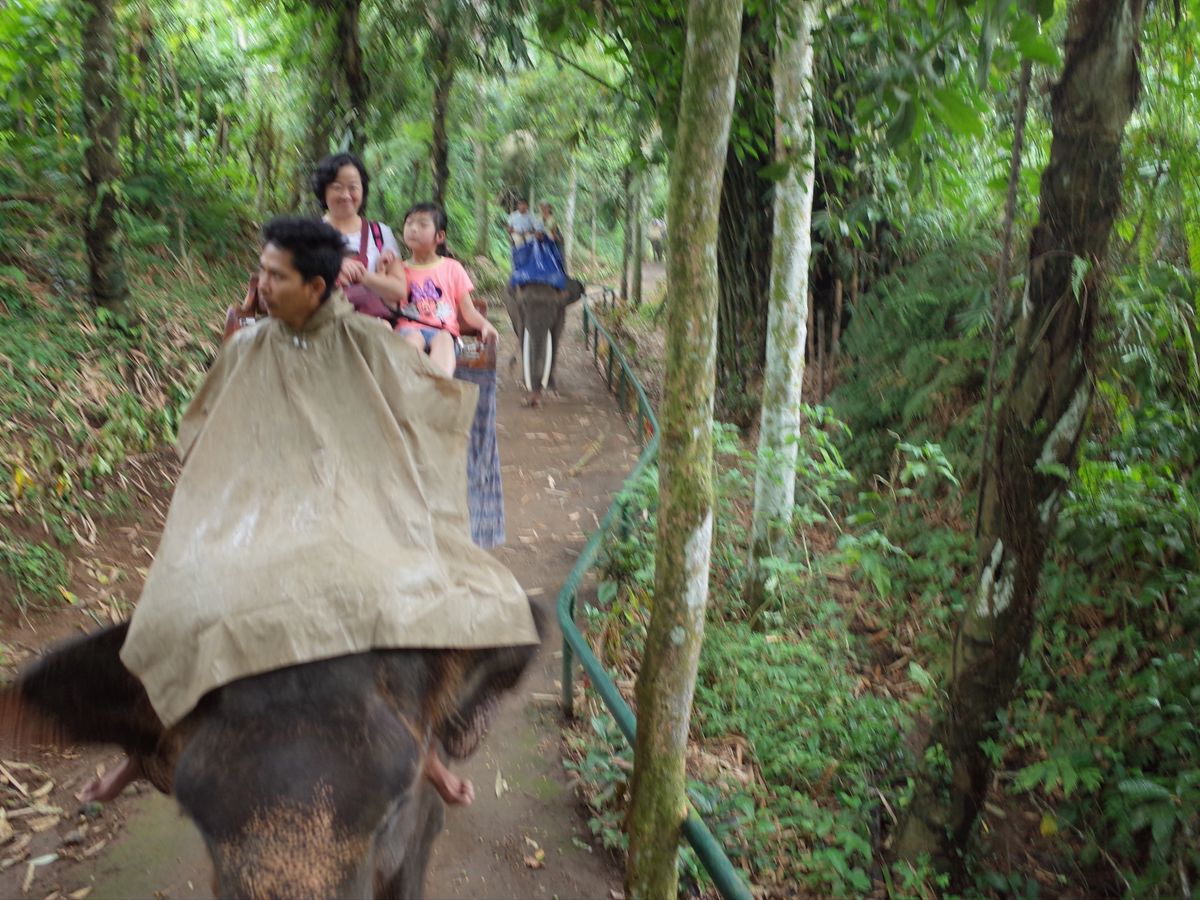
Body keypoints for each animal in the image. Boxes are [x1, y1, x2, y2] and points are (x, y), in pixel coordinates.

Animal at [504, 278, 584, 407]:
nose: (532, 401)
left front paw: (551, 389)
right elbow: (523, 339)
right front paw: (525, 385)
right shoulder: (519, 313)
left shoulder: (560, 311)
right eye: (524, 302)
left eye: (554, 304)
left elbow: (555, 340)